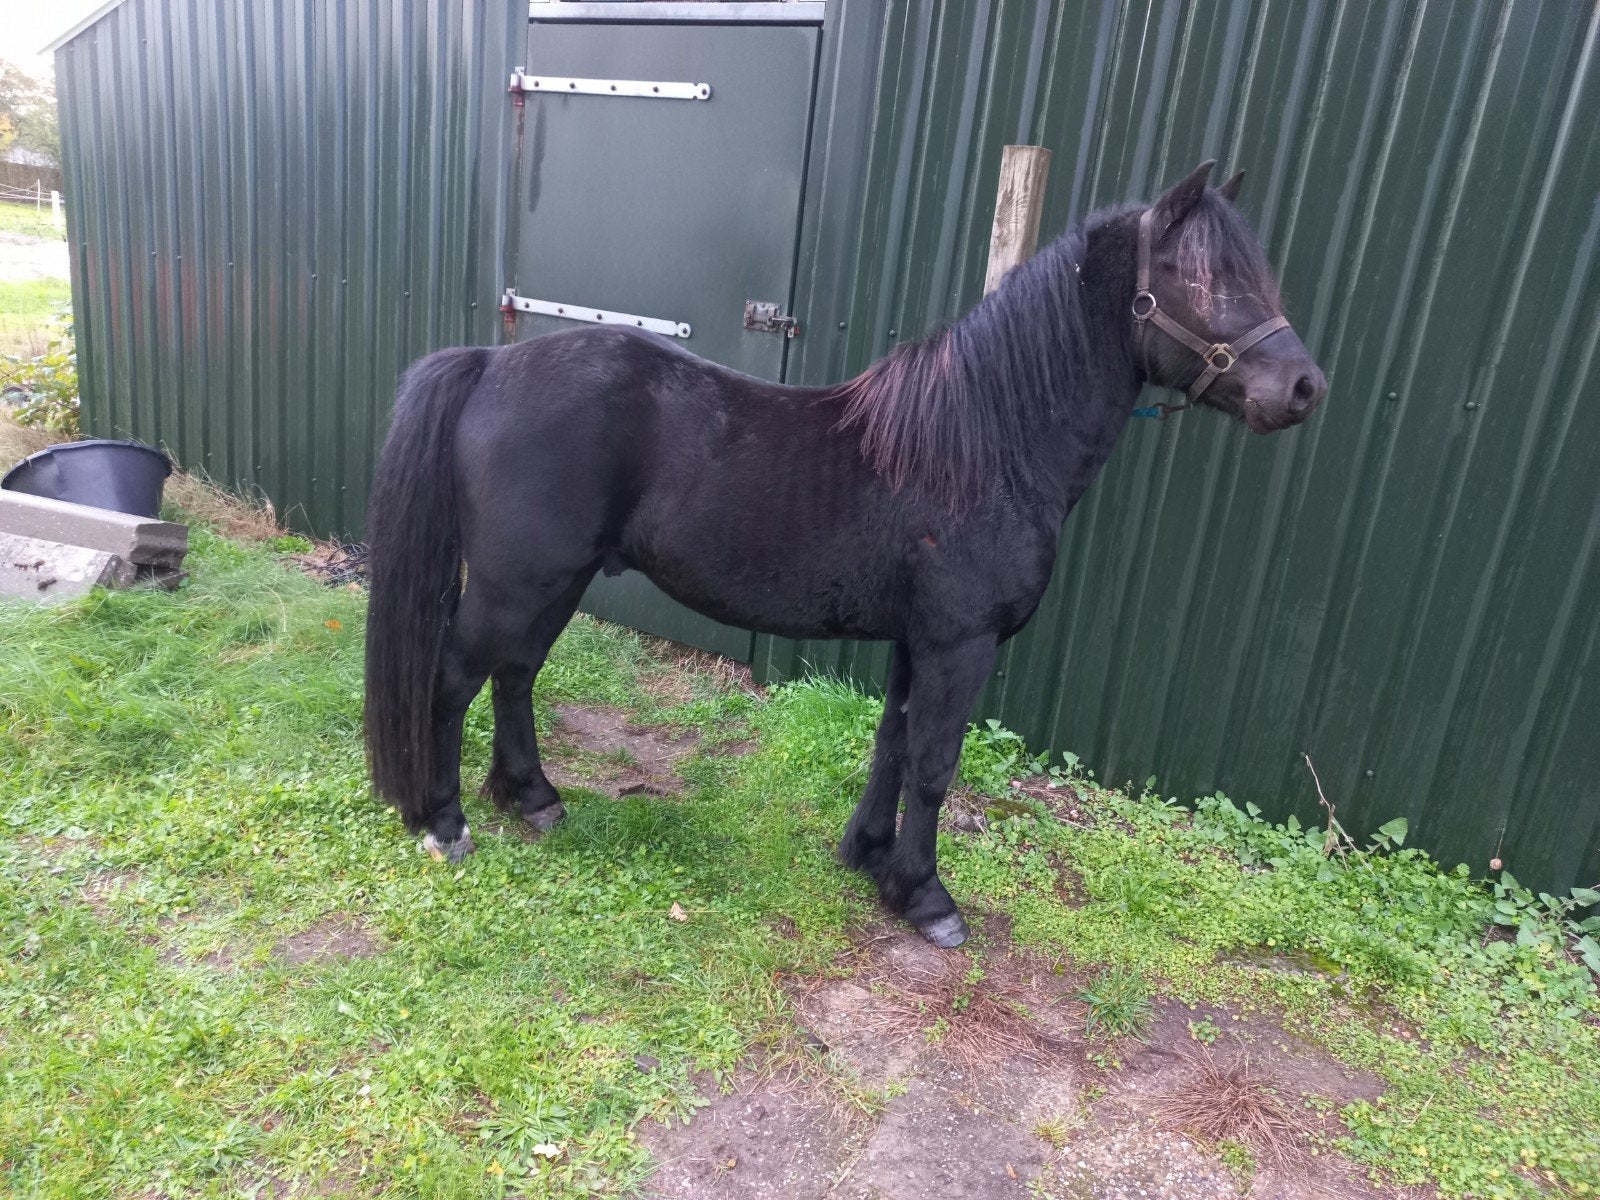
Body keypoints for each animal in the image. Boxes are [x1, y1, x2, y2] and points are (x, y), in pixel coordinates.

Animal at [363, 160, 1326, 948]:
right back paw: (444, 823)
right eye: (1197, 277)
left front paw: (869, 859)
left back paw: (532, 797)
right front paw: (928, 898)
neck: (984, 446)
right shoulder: (960, 644)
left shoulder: (915, 641)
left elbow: (892, 744)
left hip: (552, 583)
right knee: (452, 681)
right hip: (514, 584)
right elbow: (935, 766)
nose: (1304, 387)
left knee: (515, 676)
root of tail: (491, 364)